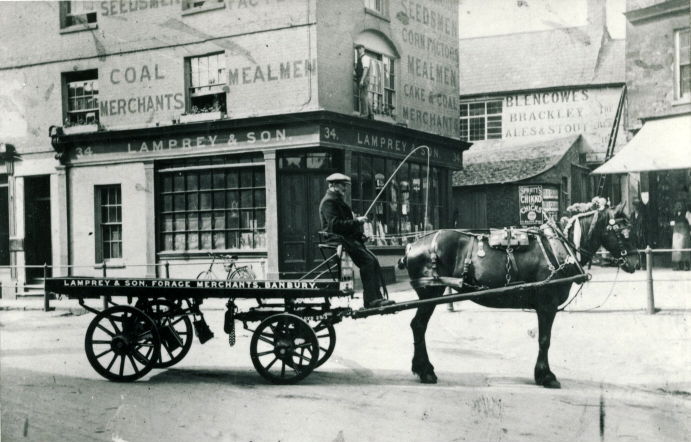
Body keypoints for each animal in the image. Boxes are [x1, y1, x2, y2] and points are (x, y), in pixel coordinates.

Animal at [400, 200, 644, 386]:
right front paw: (546, 376)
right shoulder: (547, 305)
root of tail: (413, 245)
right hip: (430, 292)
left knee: (417, 326)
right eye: (624, 232)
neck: (561, 249)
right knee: (418, 326)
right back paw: (426, 371)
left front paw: (542, 374)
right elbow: (545, 340)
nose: (635, 262)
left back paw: (423, 369)